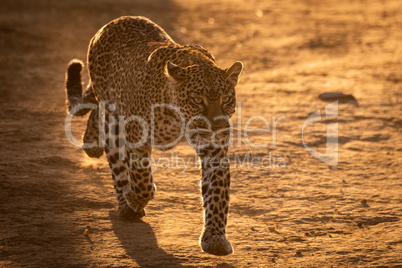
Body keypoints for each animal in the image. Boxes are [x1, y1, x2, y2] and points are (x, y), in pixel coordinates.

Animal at [64, 16, 243, 255]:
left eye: (226, 99)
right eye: (198, 100)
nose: (218, 127)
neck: (181, 118)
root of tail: (113, 22)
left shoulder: (215, 150)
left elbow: (217, 193)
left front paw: (215, 238)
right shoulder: (136, 133)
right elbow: (143, 181)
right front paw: (133, 197)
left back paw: (92, 143)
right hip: (114, 116)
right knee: (114, 153)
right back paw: (126, 204)